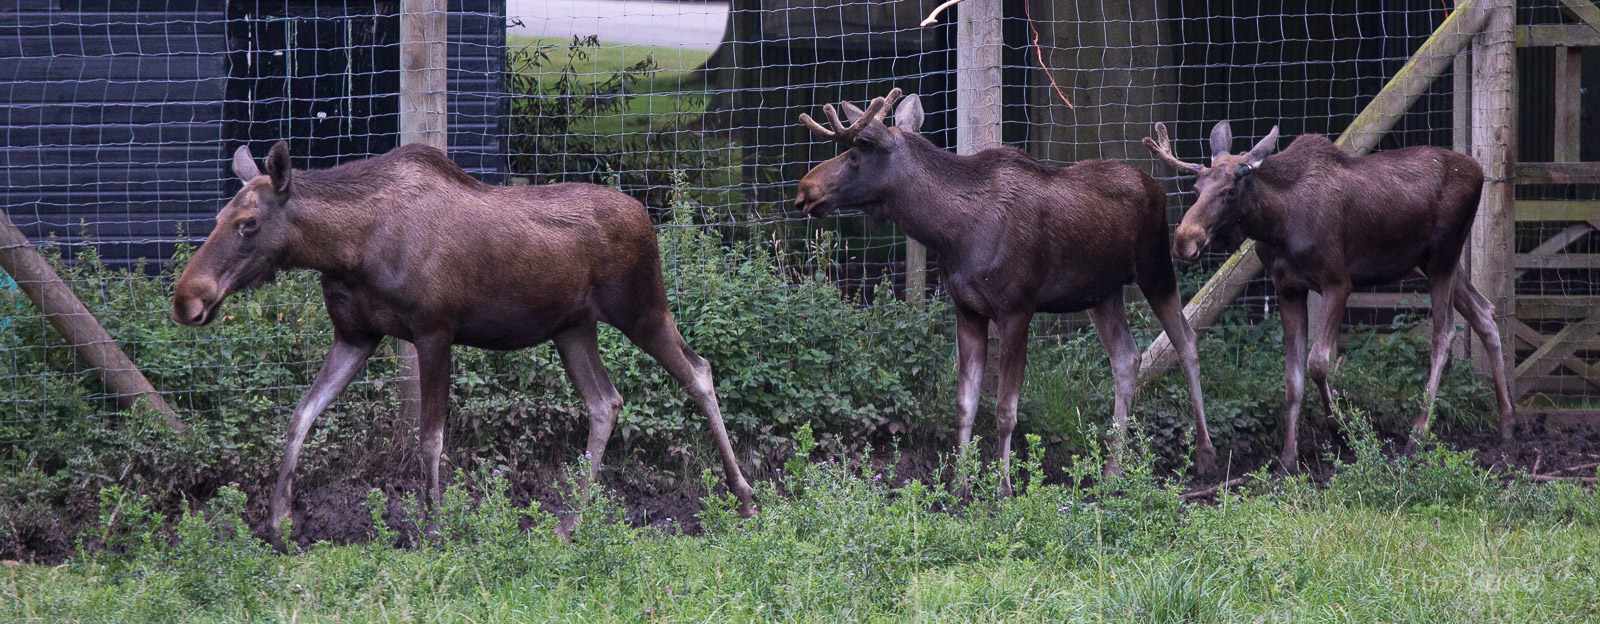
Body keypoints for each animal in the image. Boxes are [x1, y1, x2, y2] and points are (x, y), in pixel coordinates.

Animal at [172, 141, 756, 545]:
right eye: (218, 217)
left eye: (249, 223)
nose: (187, 298)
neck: (345, 250)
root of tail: (647, 217)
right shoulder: (356, 335)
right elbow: (299, 415)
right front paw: (278, 522)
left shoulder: (435, 330)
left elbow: (430, 438)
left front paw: (435, 527)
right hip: (572, 328)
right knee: (605, 401)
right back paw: (570, 521)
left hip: (641, 308)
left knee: (698, 371)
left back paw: (745, 497)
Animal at [794, 88, 1216, 480]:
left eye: (855, 153)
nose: (804, 191)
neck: (950, 233)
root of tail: (1157, 188)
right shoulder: (967, 309)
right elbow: (964, 405)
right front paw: (960, 487)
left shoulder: (1017, 308)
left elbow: (1005, 410)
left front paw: (1004, 488)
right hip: (1103, 292)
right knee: (1127, 359)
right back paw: (1112, 471)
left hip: (1155, 266)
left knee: (1186, 341)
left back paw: (1204, 455)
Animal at [1144, 120, 1515, 471]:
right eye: (1196, 188)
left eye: (1230, 190)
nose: (1185, 239)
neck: (1276, 225)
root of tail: (1479, 172)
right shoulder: (1287, 288)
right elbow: (1292, 379)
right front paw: (1287, 458)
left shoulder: (1338, 282)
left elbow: (1318, 363)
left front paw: (1340, 430)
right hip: (1432, 262)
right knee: (1484, 312)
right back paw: (1507, 422)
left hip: (1443, 256)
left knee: (1444, 333)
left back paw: (1419, 433)